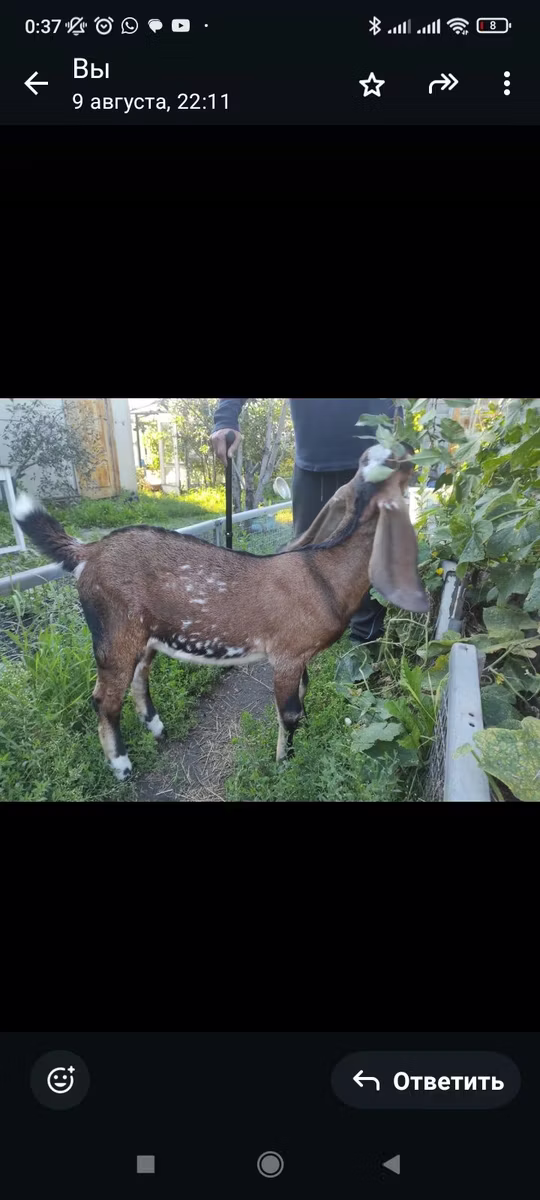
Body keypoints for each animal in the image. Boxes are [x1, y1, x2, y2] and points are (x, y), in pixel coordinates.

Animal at [13, 445, 429, 781]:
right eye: (387, 464)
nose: (410, 449)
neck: (323, 575)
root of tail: (88, 553)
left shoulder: (301, 657)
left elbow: (304, 692)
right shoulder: (287, 655)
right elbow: (289, 712)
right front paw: (285, 761)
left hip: (145, 634)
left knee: (139, 677)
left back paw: (158, 729)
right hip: (115, 631)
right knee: (104, 698)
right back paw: (122, 766)